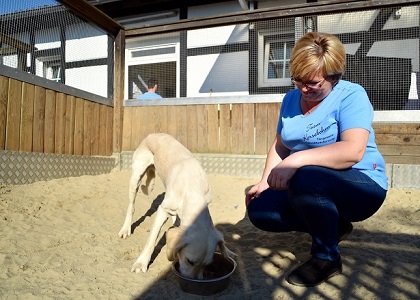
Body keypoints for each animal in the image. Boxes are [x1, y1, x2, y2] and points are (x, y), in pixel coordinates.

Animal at [118, 132, 235, 278]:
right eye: (190, 261)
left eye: (207, 265)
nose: (194, 281)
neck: (192, 187)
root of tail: (153, 134)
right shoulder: (163, 210)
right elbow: (151, 240)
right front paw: (141, 263)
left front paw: (228, 251)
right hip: (136, 178)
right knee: (131, 207)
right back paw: (125, 229)